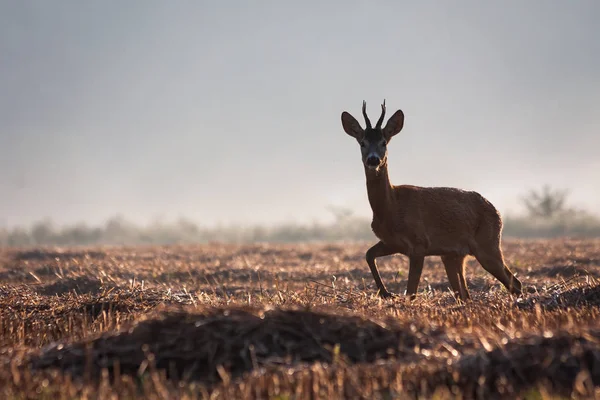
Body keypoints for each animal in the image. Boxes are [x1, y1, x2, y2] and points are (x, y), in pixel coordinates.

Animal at [340, 100, 524, 300]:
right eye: (363, 143)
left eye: (383, 142)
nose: (373, 160)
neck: (391, 209)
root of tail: (497, 213)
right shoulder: (391, 242)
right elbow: (368, 254)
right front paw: (386, 292)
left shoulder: (419, 243)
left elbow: (411, 290)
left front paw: (394, 296)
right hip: (453, 255)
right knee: (465, 294)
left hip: (488, 244)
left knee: (514, 282)